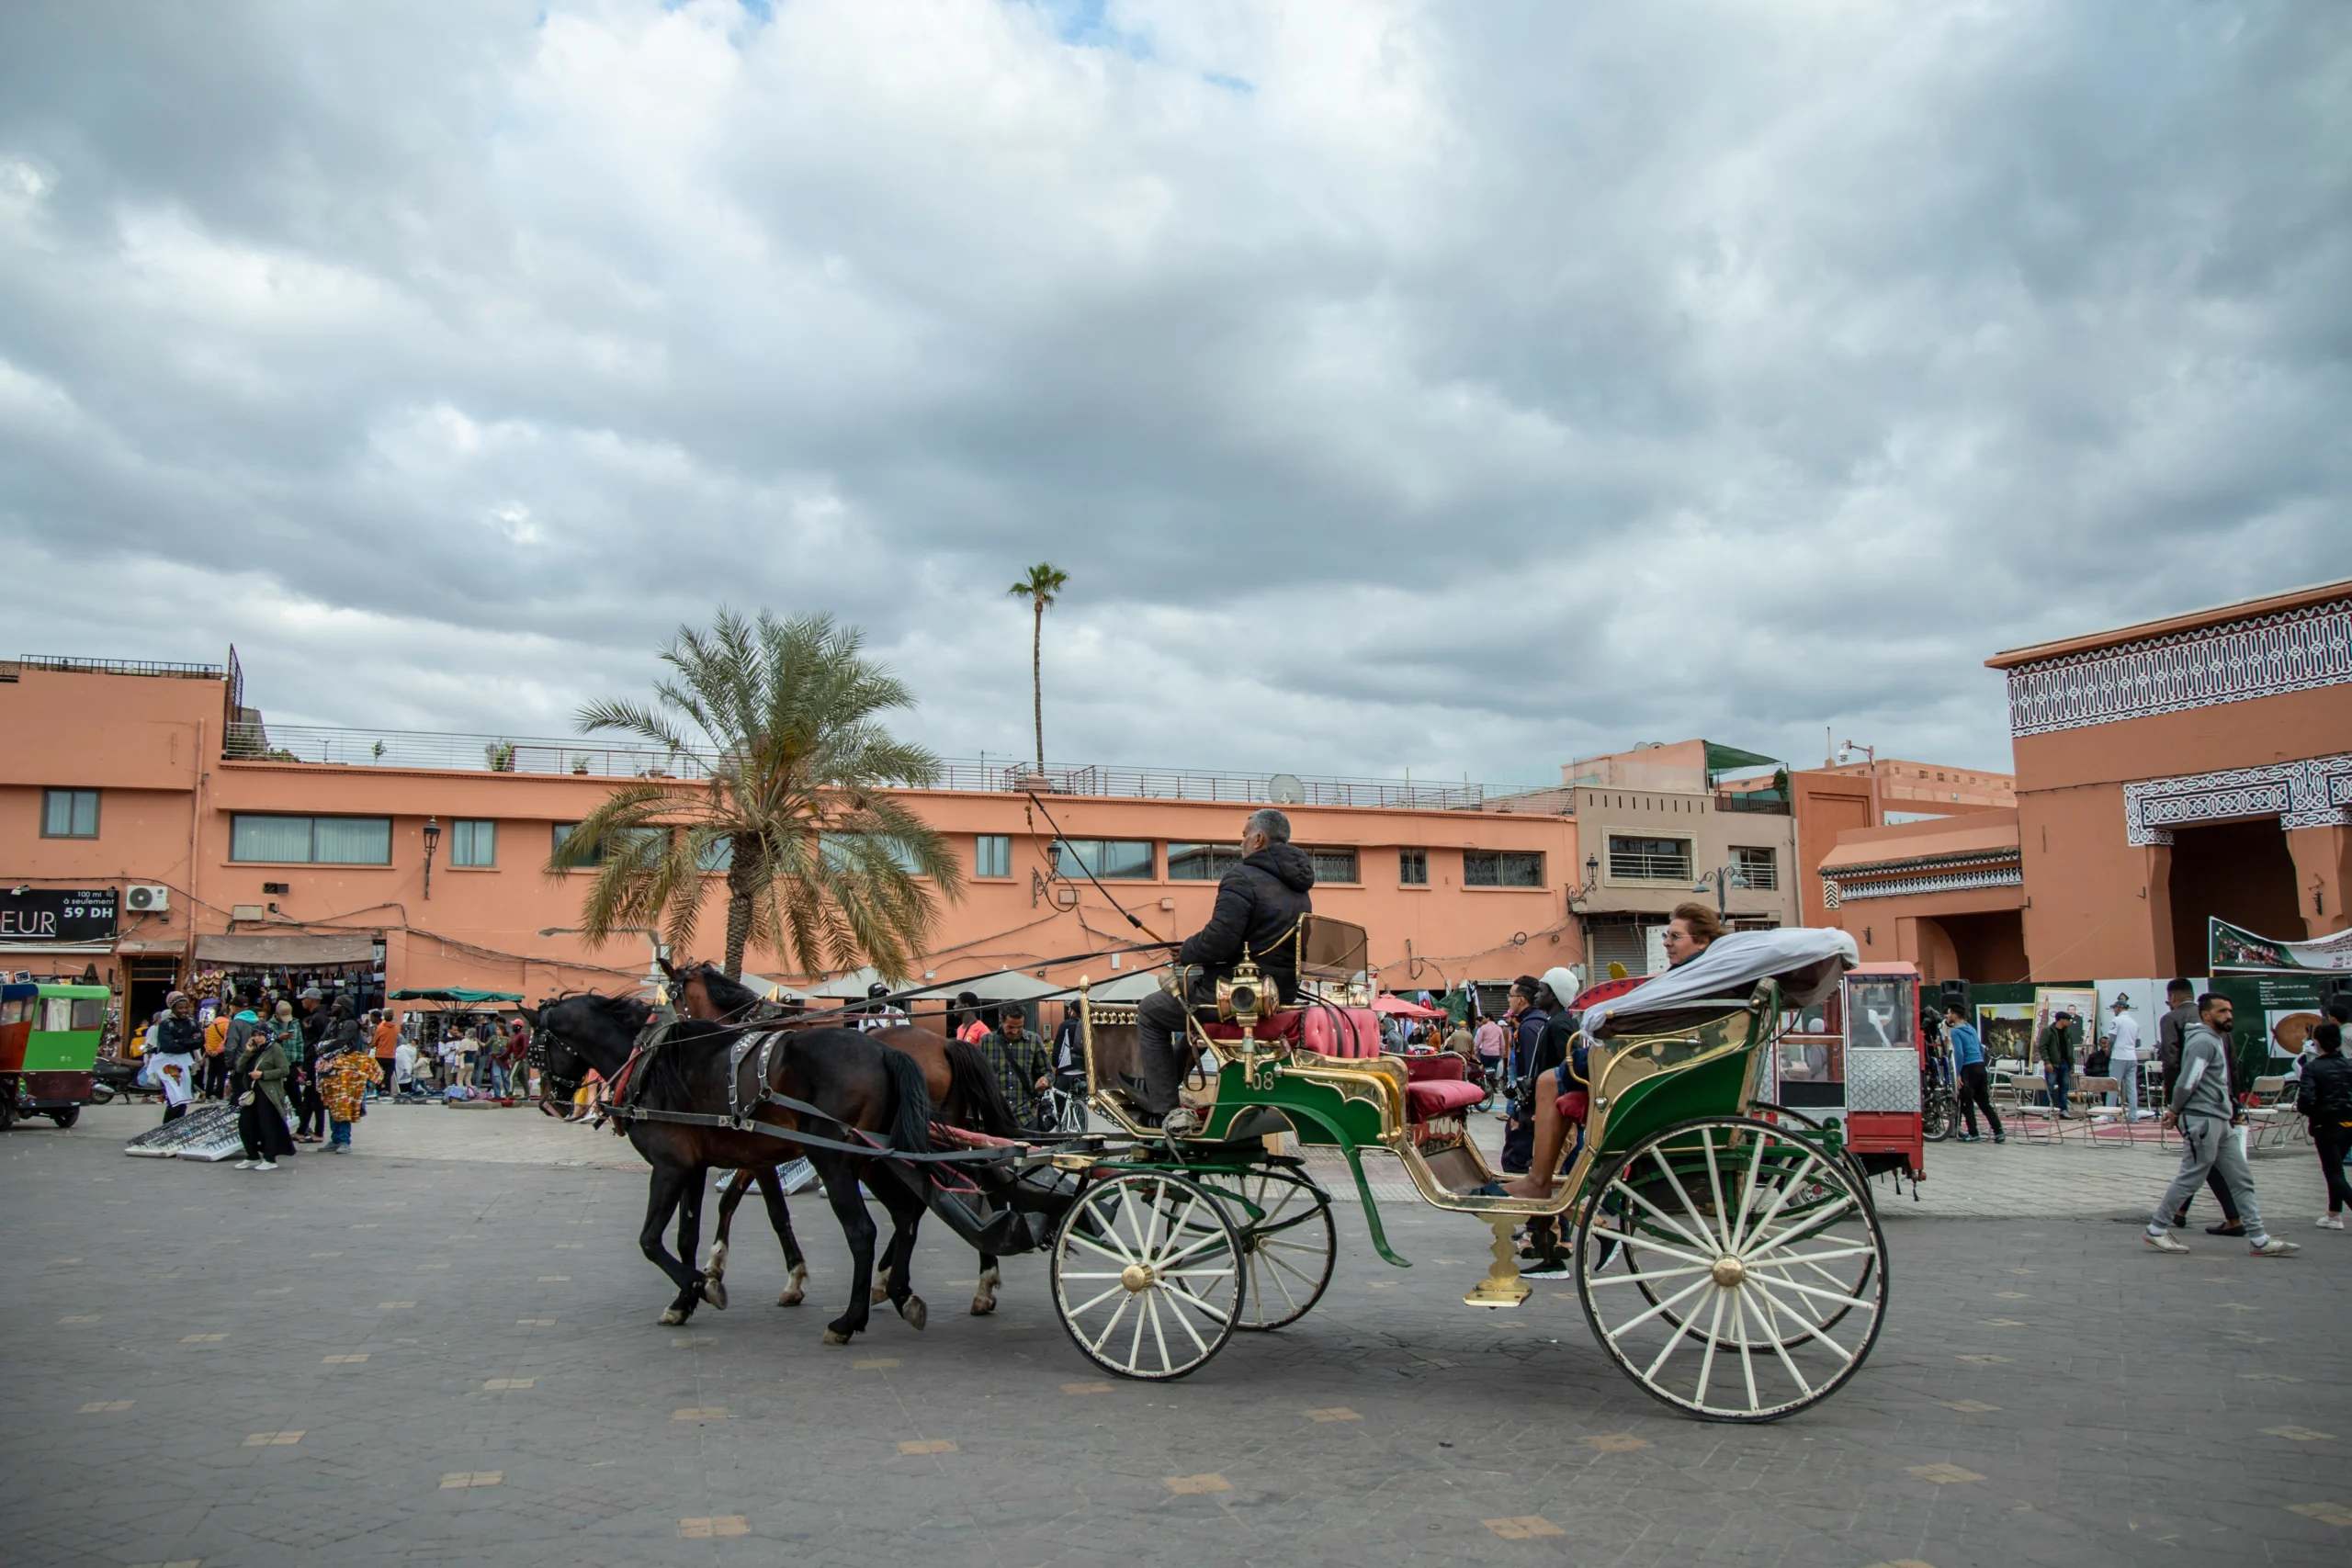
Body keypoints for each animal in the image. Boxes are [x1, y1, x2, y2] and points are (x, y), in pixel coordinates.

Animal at [534, 1001, 935, 1344]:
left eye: (537, 1049)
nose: (551, 1103)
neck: (649, 1062)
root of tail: (884, 1051)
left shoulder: (670, 1166)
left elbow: (650, 1240)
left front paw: (702, 1285)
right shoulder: (699, 1167)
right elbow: (690, 1236)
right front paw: (684, 1300)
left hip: (834, 1161)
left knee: (862, 1233)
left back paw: (848, 1321)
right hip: (872, 1159)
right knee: (906, 1212)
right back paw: (899, 1292)